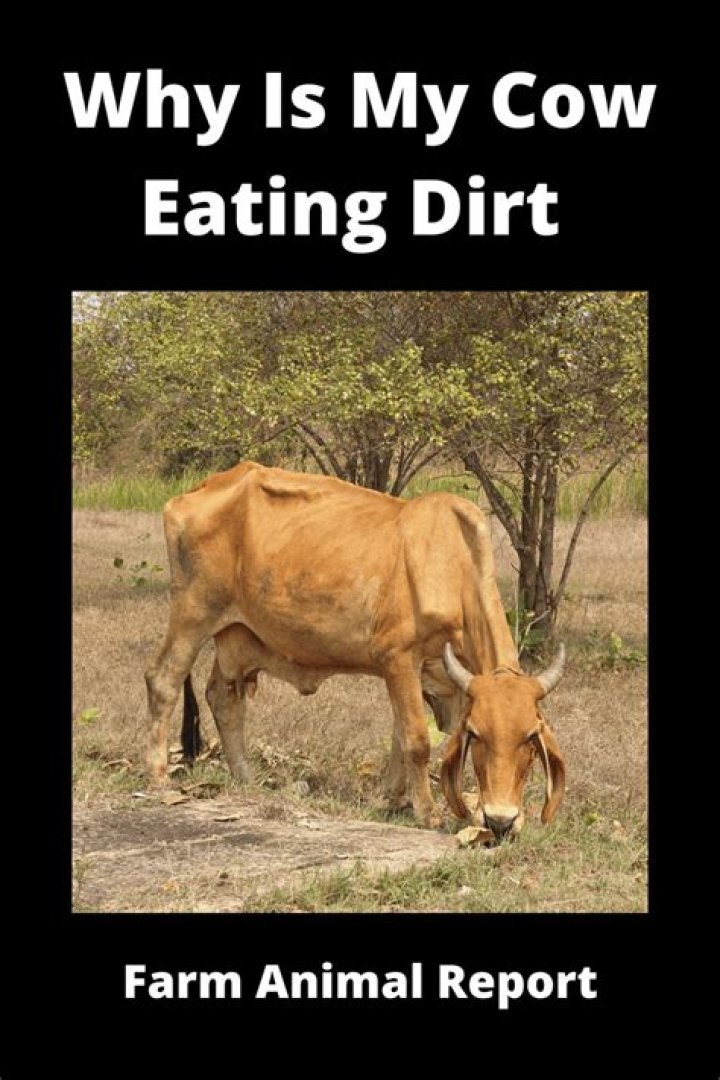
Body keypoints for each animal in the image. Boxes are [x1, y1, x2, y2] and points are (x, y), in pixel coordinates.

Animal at [145, 461, 566, 838]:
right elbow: (416, 739)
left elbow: (399, 736)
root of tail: (198, 490)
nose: (501, 821)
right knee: (163, 680)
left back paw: (246, 776)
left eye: (531, 741)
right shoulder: (398, 659)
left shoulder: (432, 678)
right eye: (477, 736)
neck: (452, 568)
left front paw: (394, 799)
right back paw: (158, 775)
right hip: (194, 612)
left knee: (222, 696)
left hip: (237, 634)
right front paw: (428, 813)